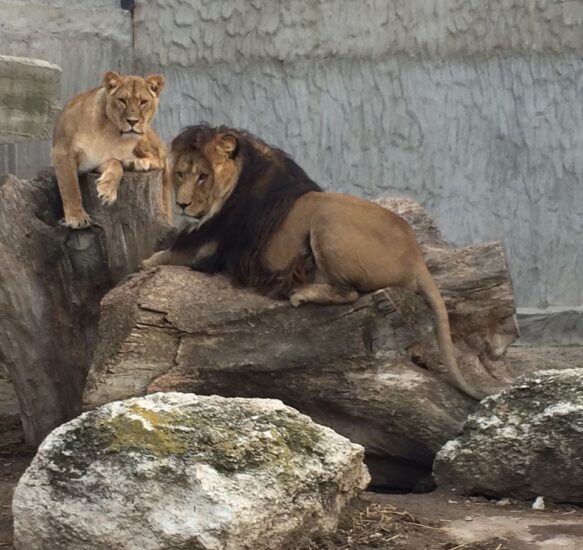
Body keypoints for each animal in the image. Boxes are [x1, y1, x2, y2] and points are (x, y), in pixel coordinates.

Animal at [52, 71, 172, 229]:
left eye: (143, 102)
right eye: (122, 100)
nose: (132, 121)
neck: (110, 131)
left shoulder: (97, 160)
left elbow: (116, 164)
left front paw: (107, 192)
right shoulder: (63, 151)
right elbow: (70, 187)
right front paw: (77, 218)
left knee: (161, 159)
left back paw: (137, 163)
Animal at [144, 126, 486, 402]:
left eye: (203, 176)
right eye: (180, 174)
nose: (182, 205)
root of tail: (417, 258)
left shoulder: (208, 249)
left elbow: (156, 258)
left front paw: (148, 261)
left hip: (327, 217)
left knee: (349, 293)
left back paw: (302, 292)